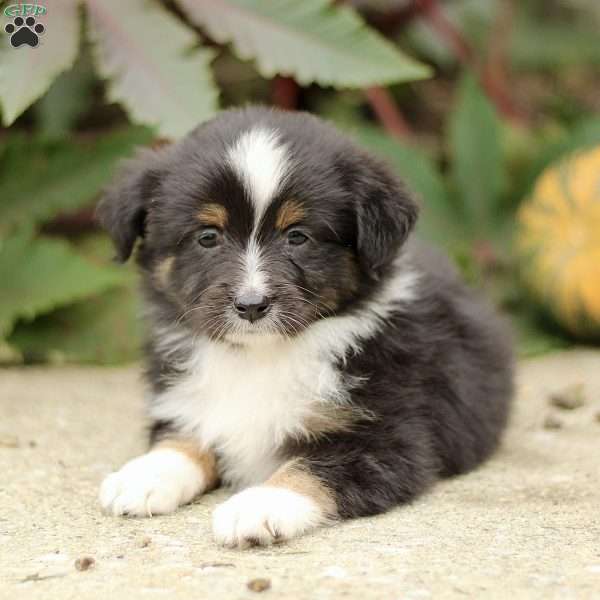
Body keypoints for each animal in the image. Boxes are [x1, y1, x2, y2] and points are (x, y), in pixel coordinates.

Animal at [96, 105, 512, 548]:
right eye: (207, 237)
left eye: (297, 236)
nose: (251, 305)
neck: (260, 357)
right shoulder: (184, 401)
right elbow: (183, 437)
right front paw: (143, 475)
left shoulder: (389, 437)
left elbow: (311, 467)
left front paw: (257, 506)